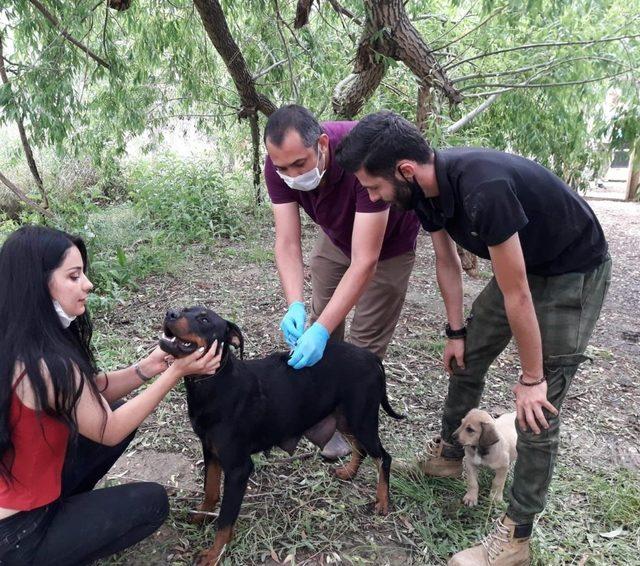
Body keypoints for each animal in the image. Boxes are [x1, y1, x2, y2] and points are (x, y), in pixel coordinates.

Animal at [158, 308, 402, 564]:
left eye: (204, 319)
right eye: (185, 309)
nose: (170, 313)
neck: (215, 382)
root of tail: (371, 357)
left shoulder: (238, 468)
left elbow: (225, 520)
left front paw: (214, 553)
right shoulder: (211, 450)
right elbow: (210, 491)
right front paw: (200, 517)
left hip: (362, 420)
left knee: (383, 457)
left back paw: (382, 501)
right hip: (346, 419)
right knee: (361, 449)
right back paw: (349, 472)